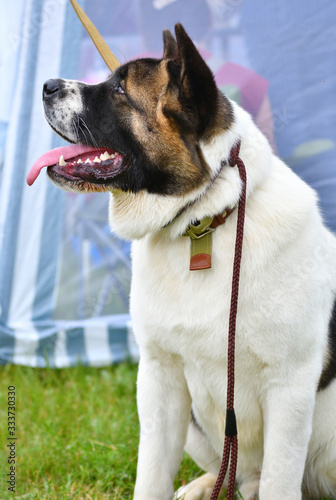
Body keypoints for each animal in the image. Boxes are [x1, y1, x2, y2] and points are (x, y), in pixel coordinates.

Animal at [28, 24, 336, 500]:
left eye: (120, 89)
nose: (46, 85)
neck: (204, 220)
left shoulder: (290, 389)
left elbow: (280, 479)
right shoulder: (160, 380)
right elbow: (152, 474)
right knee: (236, 474)